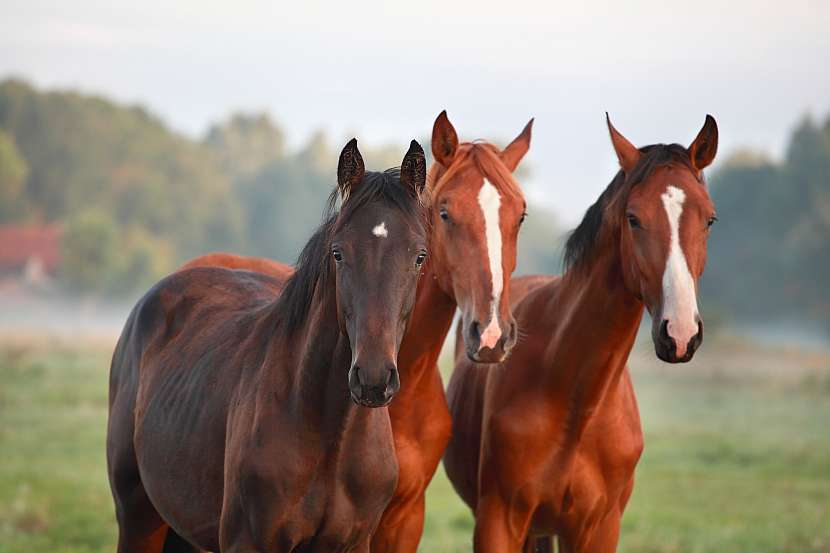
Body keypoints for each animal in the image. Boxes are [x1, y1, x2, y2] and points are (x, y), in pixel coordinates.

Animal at [109, 139, 428, 552]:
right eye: (338, 253)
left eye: (419, 256)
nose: (373, 379)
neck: (330, 436)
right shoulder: (248, 542)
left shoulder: (355, 543)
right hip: (137, 519)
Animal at [442, 114, 720, 548]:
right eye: (633, 218)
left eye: (709, 219)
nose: (680, 333)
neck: (576, 403)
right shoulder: (498, 522)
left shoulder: (600, 528)